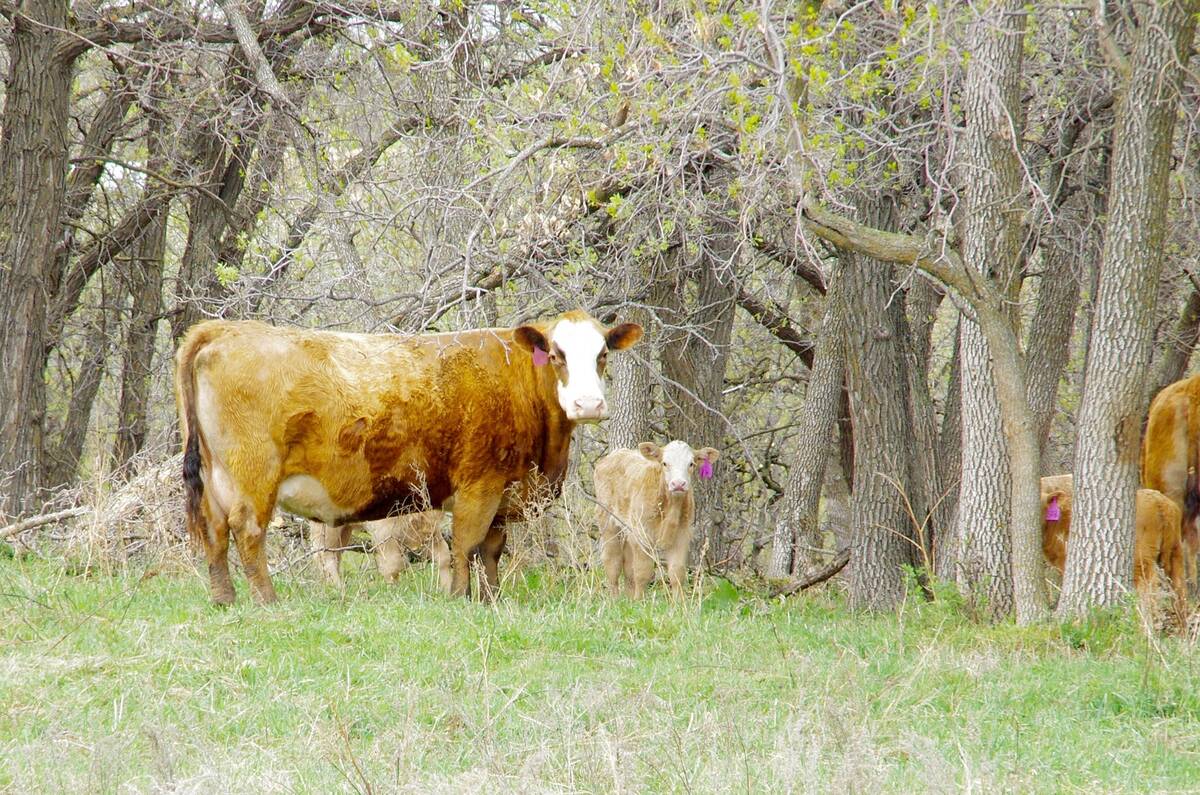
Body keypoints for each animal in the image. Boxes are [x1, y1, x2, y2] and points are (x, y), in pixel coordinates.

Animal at [310, 511, 449, 588]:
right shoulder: (385, 530)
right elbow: (394, 564)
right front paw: (394, 589)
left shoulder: (430, 530)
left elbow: (444, 556)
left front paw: (447, 589)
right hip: (326, 523)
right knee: (323, 554)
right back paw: (339, 587)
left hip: (344, 530)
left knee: (335, 554)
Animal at [593, 440, 720, 599]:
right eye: (665, 463)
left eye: (691, 464)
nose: (678, 484)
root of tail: (615, 454)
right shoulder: (642, 534)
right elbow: (643, 572)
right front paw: (639, 601)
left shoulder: (682, 535)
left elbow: (677, 572)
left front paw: (679, 603)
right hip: (607, 520)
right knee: (613, 561)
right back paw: (615, 599)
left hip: (629, 529)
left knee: (628, 567)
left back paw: (628, 598)